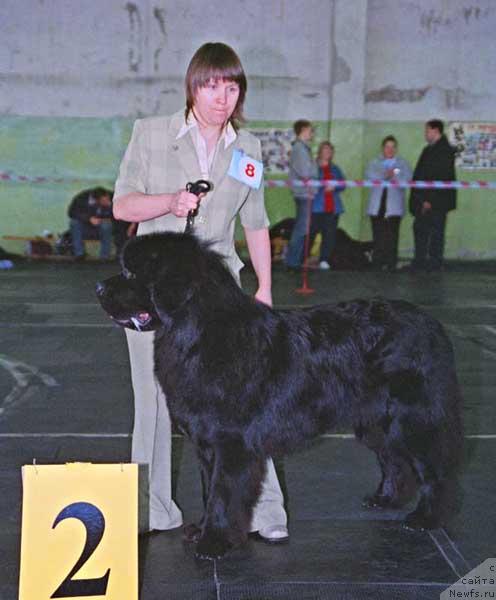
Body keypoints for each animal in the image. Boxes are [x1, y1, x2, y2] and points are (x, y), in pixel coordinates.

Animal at [96, 232, 462, 560]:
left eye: (131, 274)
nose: (99, 288)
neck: (196, 333)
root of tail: (431, 324)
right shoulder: (206, 442)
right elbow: (207, 488)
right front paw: (201, 530)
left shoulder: (230, 442)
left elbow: (221, 493)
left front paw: (213, 543)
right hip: (374, 421)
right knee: (393, 459)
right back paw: (384, 499)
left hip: (411, 419)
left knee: (433, 469)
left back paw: (426, 518)